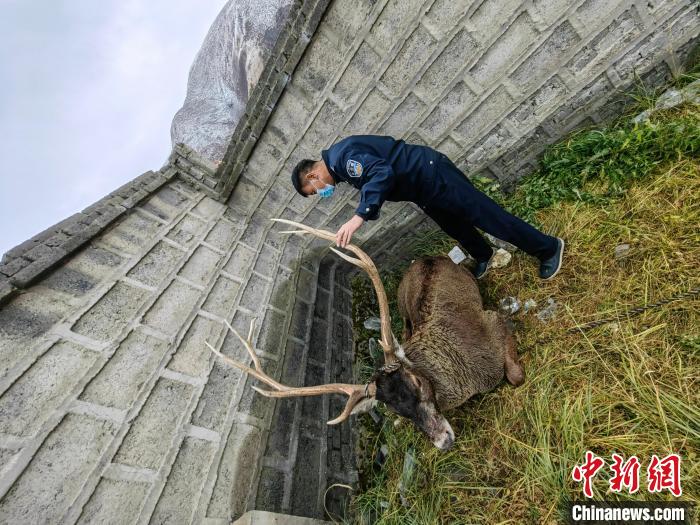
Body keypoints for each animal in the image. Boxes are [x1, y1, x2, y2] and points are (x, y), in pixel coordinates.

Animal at [206, 219, 525, 450]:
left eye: (417, 381)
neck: (465, 378)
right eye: (392, 408)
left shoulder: (491, 320)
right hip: (404, 306)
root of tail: (424, 258)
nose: (443, 441)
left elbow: (516, 376)